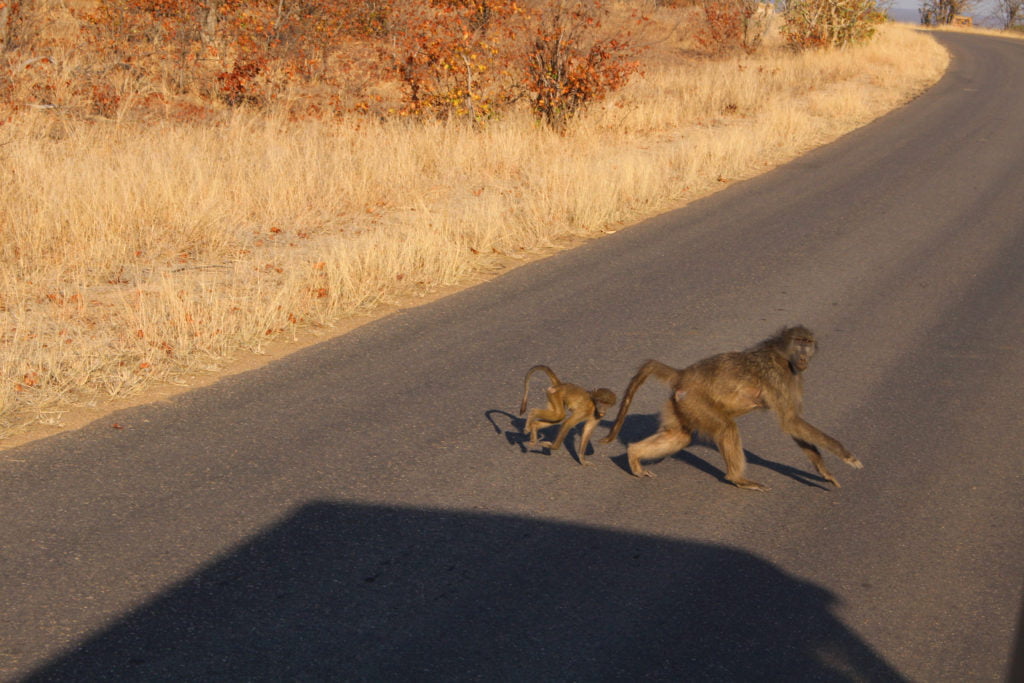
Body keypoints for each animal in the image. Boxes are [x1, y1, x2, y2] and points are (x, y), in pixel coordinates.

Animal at [601, 326, 862, 491]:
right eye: (799, 342)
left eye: (808, 343)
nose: (804, 356)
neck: (780, 353)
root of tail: (682, 374)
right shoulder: (778, 376)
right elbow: (790, 421)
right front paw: (847, 456)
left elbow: (793, 424)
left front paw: (825, 472)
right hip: (695, 401)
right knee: (726, 427)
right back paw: (738, 479)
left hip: (680, 404)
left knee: (680, 437)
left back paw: (634, 455)